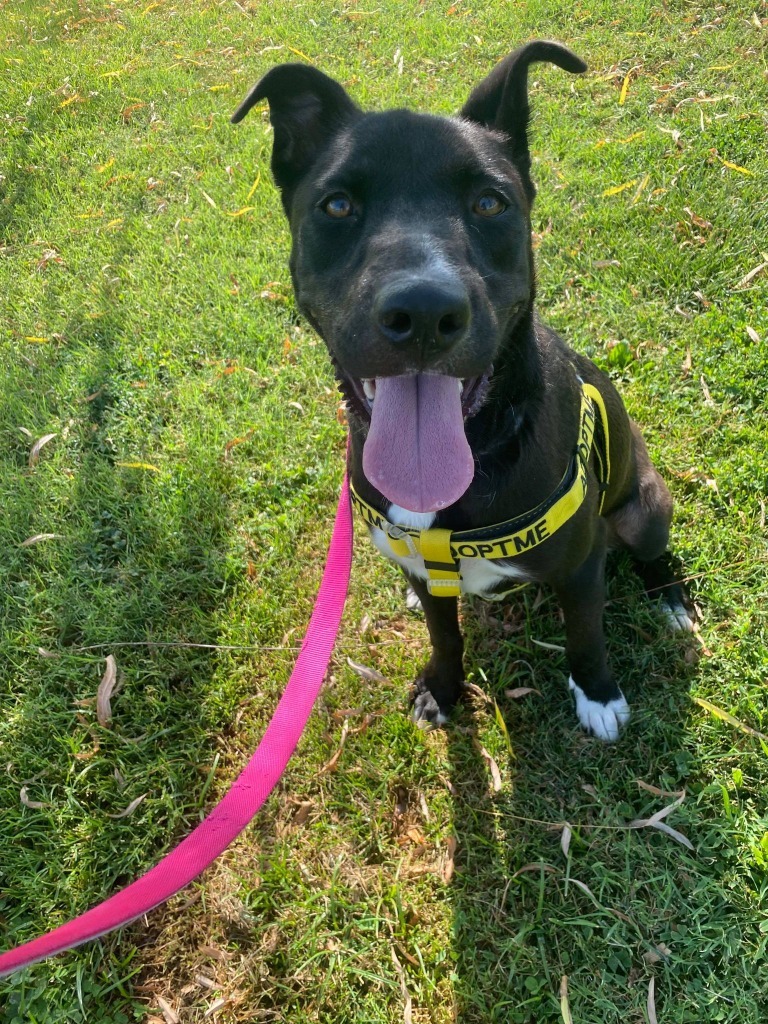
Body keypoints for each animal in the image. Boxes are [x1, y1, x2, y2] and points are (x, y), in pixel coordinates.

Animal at [231, 41, 696, 745]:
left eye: (489, 203)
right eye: (336, 205)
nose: (424, 312)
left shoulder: (582, 566)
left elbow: (586, 634)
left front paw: (597, 693)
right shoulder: (432, 582)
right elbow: (443, 634)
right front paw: (443, 688)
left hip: (644, 505)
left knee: (653, 550)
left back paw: (669, 596)